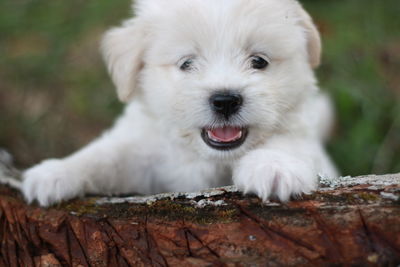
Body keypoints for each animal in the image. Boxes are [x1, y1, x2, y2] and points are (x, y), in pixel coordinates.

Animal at [21, 0, 338, 207]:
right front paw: (55, 173)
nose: (225, 100)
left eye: (259, 61)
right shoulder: (141, 153)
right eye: (186, 63)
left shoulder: (299, 135)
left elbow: (285, 144)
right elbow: (103, 156)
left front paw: (274, 168)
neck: (204, 156)